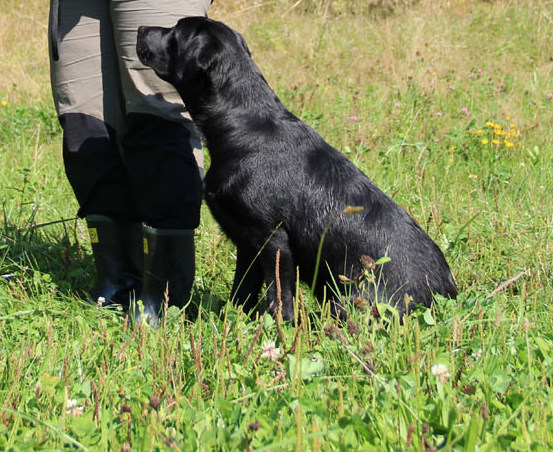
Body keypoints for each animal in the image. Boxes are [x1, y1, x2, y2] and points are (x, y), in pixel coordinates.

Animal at [136, 17, 454, 320]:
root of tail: (447, 295)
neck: (243, 127)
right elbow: (242, 291)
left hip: (349, 300)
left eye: (175, 30)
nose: (139, 29)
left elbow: (279, 295)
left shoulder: (272, 238)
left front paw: (279, 327)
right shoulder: (246, 242)